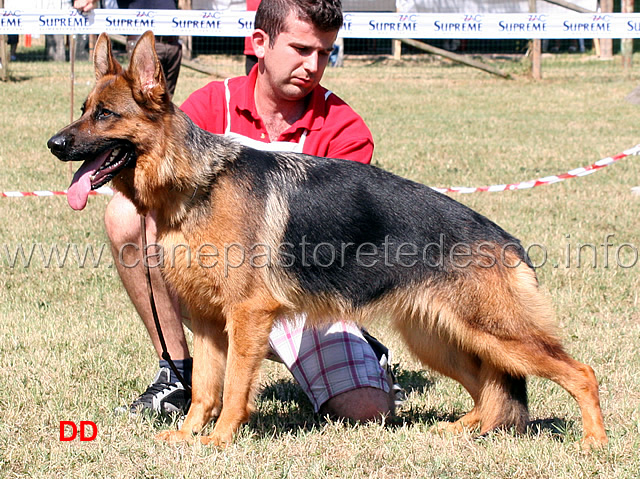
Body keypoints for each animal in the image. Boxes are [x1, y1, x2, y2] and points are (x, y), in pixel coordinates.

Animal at [47, 32, 608, 450]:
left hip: (496, 334)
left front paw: (220, 440)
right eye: (84, 108)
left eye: (105, 115)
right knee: (491, 391)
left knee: (579, 372)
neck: (195, 184)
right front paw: (187, 437)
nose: (53, 143)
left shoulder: (246, 317)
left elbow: (233, 389)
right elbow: (206, 388)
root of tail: (507, 240)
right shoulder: (207, 324)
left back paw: (595, 442)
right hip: (441, 338)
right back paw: (461, 430)